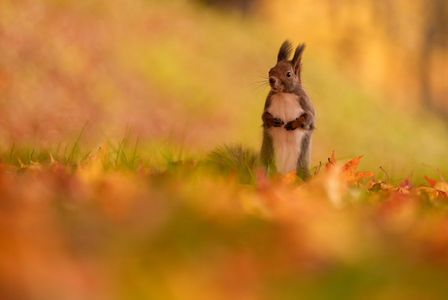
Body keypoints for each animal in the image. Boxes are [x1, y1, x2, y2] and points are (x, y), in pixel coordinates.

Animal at [260, 40, 316, 179]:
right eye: (271, 70)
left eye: (289, 74)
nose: (272, 80)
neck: (284, 94)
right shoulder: (269, 102)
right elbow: (264, 116)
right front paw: (273, 121)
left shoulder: (306, 104)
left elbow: (308, 118)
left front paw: (293, 124)